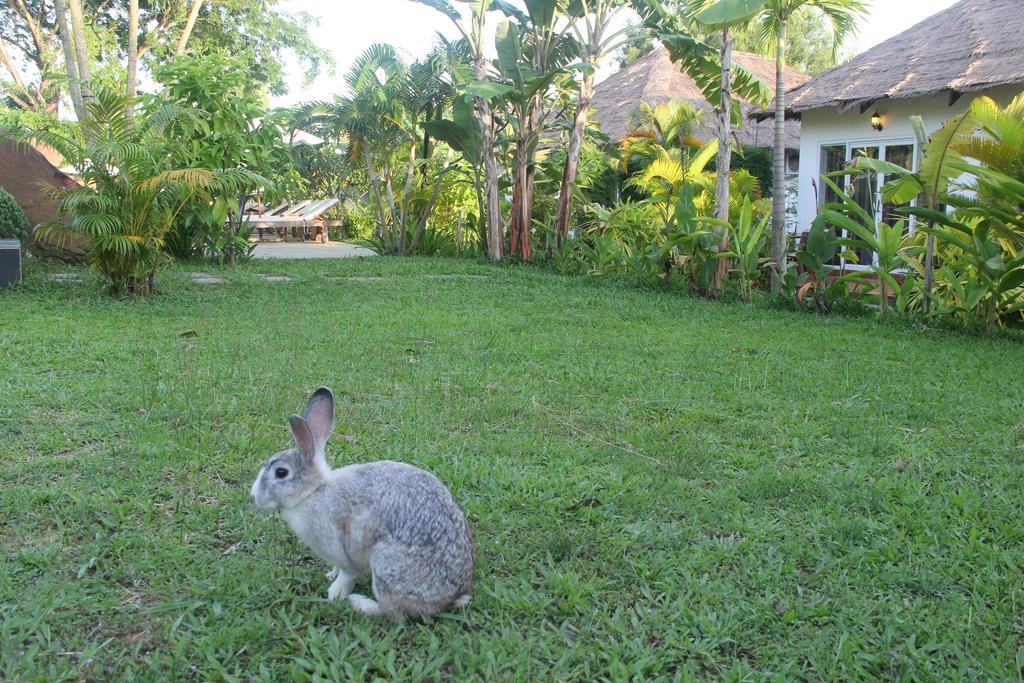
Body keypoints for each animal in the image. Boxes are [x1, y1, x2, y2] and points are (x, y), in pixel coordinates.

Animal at [249, 387, 473, 622]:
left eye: (281, 472)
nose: (254, 496)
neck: (314, 491)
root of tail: (452, 596)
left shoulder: (342, 550)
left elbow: (347, 574)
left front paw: (334, 594)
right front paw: (330, 575)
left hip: (386, 564)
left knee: (394, 614)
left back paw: (359, 603)